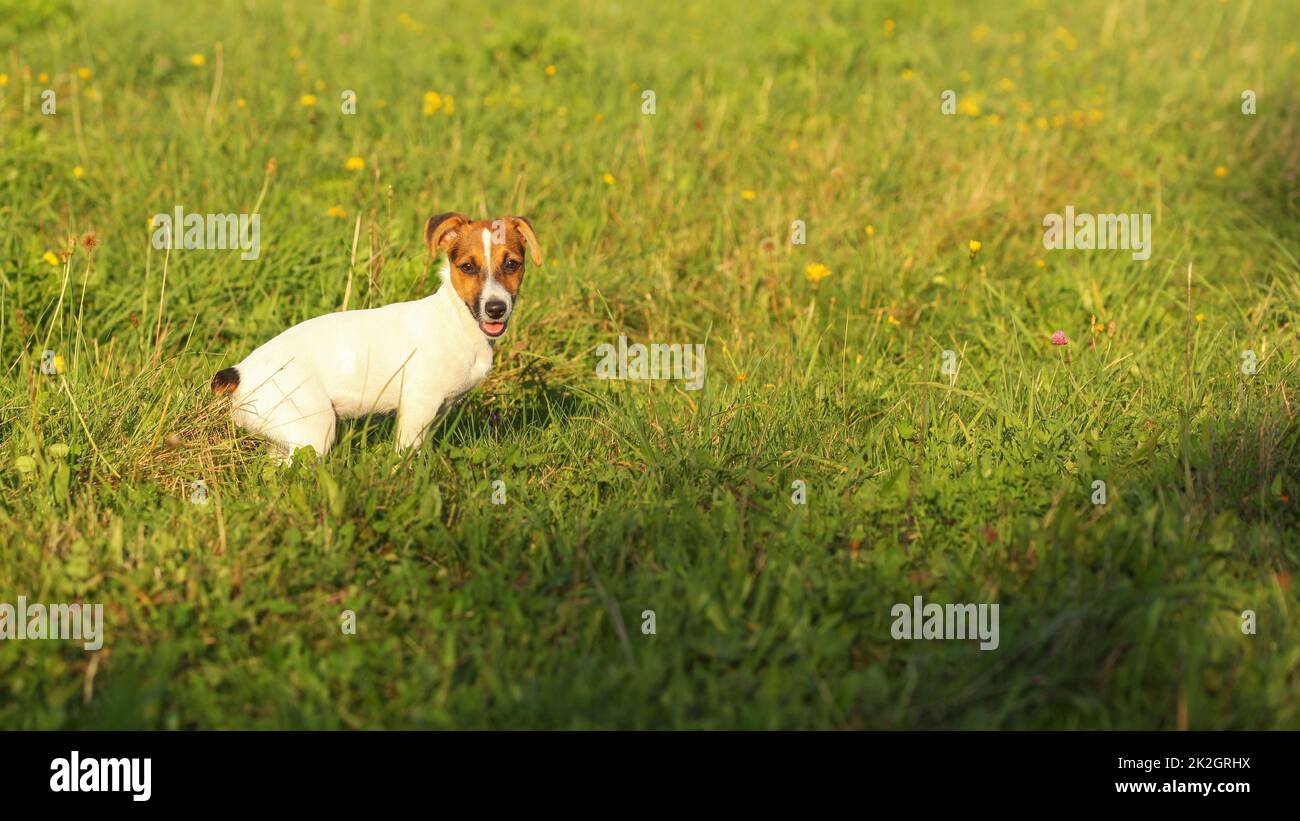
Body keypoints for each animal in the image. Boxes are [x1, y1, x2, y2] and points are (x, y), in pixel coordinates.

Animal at [210, 211, 540, 459]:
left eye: (512, 264)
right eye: (468, 267)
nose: (495, 308)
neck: (457, 321)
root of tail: (239, 373)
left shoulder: (439, 409)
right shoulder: (418, 404)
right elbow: (406, 454)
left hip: (286, 435)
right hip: (314, 428)